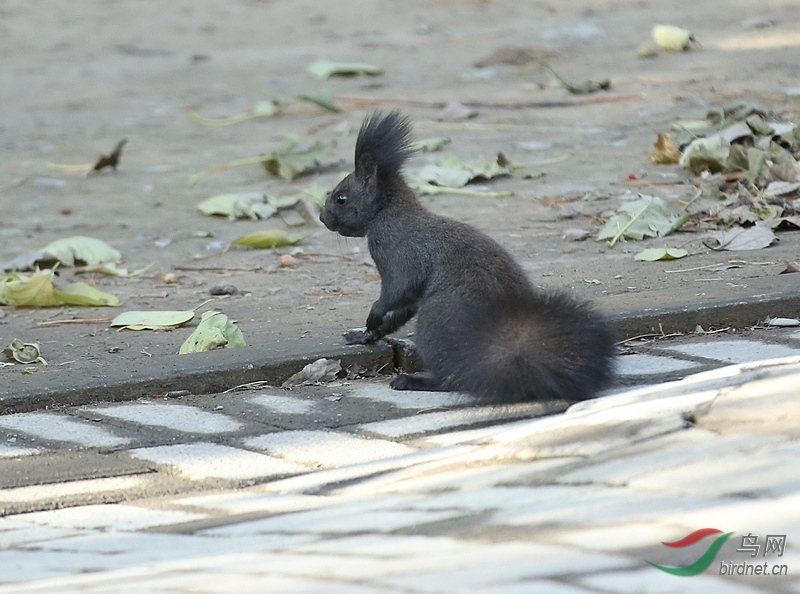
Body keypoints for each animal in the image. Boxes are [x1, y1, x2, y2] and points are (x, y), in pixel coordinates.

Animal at [318, 110, 612, 402]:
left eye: (341, 198)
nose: (322, 218)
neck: (387, 213)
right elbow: (400, 310)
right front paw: (366, 334)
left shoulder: (398, 252)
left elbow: (397, 291)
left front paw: (373, 315)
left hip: (435, 322)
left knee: (455, 378)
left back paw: (413, 381)